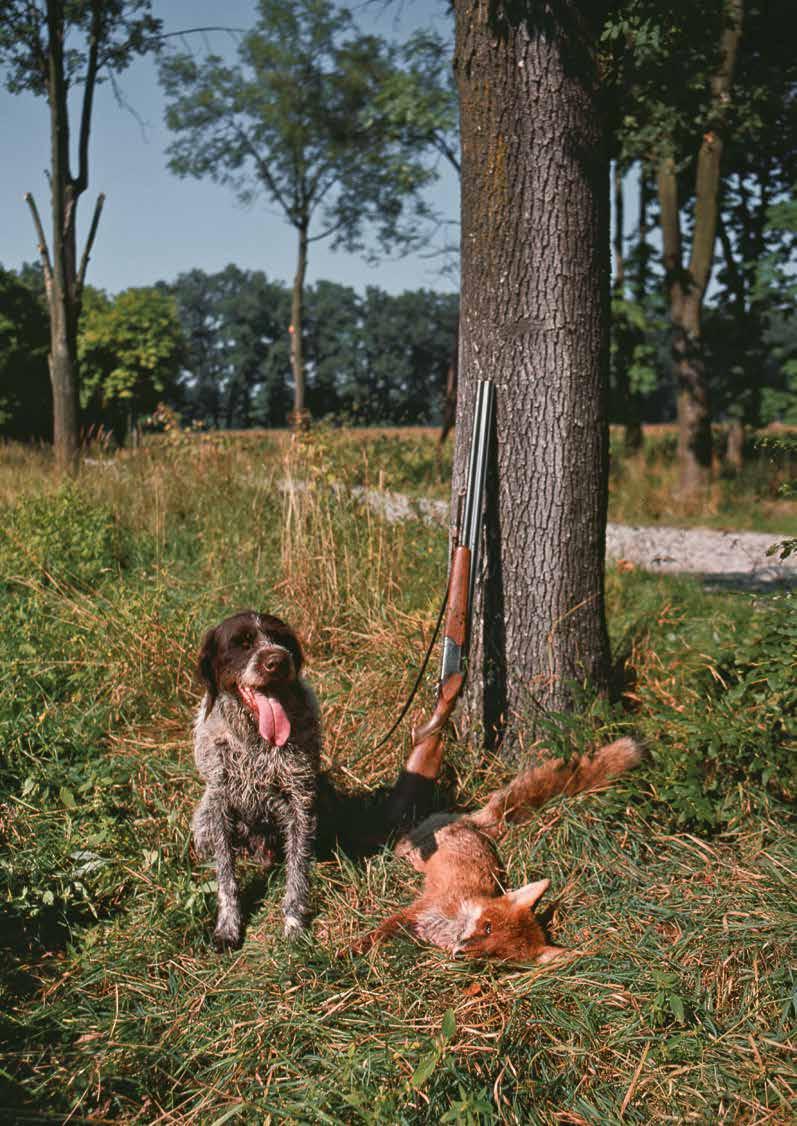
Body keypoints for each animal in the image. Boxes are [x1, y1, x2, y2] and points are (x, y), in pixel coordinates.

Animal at [353, 734, 639, 963]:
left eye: (496, 954)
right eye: (488, 927)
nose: (460, 953)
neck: (451, 924)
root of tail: (481, 825)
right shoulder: (417, 912)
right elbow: (371, 937)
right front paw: (348, 958)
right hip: (415, 850)